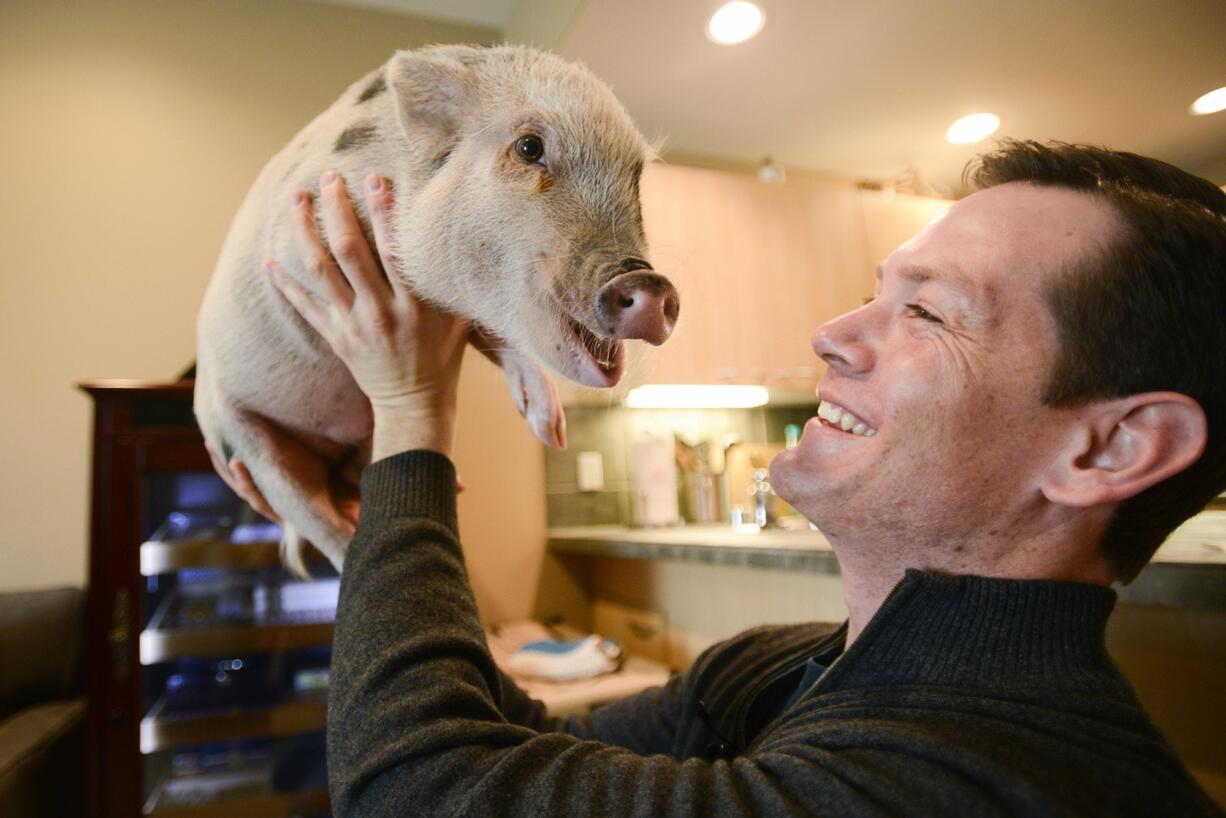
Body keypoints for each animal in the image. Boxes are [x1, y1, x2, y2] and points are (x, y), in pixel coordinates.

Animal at [196, 44, 686, 576]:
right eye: (529, 148)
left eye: (635, 176)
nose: (648, 281)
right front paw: (550, 428)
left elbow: (492, 336)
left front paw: (548, 428)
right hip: (245, 446)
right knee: (322, 525)